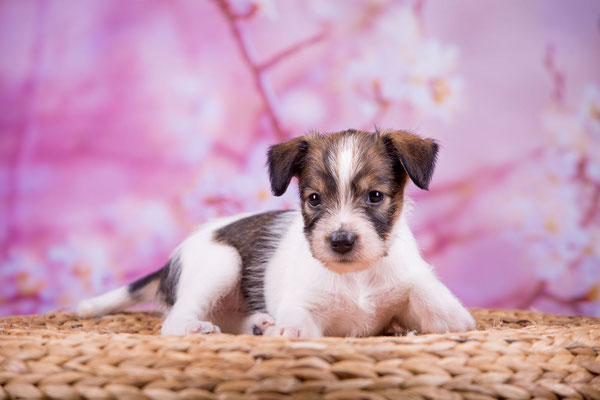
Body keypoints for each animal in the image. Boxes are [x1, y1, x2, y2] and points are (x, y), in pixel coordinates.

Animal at [77, 130, 476, 336]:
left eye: (375, 196)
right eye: (314, 199)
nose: (341, 241)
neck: (356, 278)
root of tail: (167, 265)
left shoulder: (410, 282)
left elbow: (435, 302)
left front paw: (447, 319)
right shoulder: (301, 305)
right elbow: (299, 325)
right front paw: (288, 332)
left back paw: (257, 324)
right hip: (221, 263)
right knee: (175, 321)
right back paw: (198, 329)